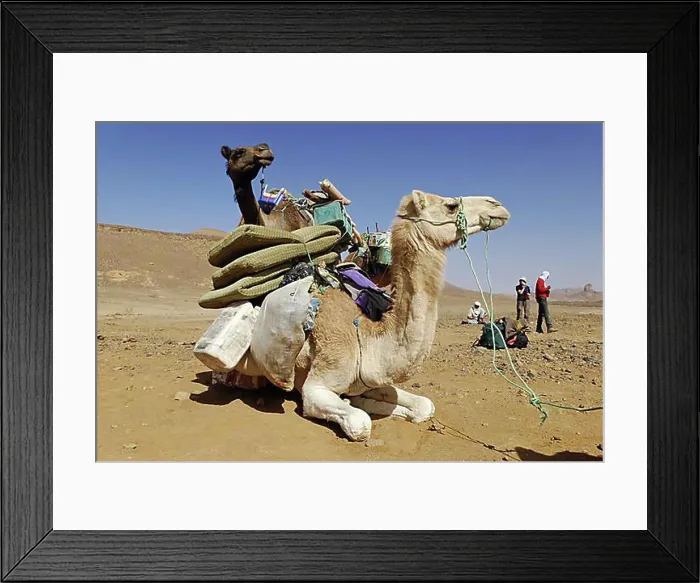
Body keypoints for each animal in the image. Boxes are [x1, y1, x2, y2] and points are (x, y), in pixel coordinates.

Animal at [232, 189, 510, 441]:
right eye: (450, 206)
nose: (497, 205)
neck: (364, 337)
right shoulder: (317, 386)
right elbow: (361, 422)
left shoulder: (371, 379)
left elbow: (423, 406)